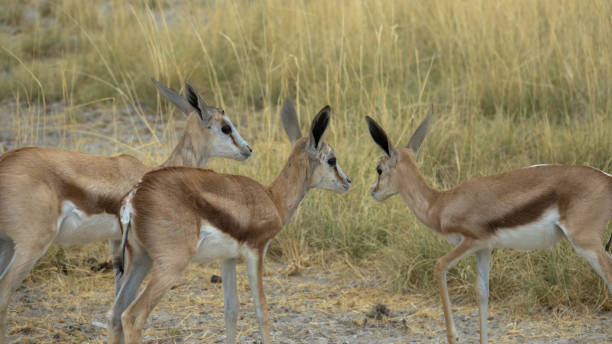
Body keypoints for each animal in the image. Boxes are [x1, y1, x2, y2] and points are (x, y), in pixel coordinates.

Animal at [0, 78, 251, 344]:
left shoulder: (115, 244)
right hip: (31, 245)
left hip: (6, 244)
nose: (248, 149)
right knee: (4, 293)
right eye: (226, 127)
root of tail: (5, 161)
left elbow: (116, 308)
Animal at [107, 100, 352, 344]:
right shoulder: (256, 252)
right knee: (132, 316)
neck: (272, 199)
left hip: (141, 260)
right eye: (332, 160)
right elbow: (262, 311)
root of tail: (135, 196)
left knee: (115, 314)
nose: (348, 181)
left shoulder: (228, 258)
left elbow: (231, 310)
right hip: (170, 266)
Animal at [366, 107, 612, 344]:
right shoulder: (484, 248)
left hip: (585, 242)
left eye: (379, 169)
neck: (441, 203)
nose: (373, 192)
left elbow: (439, 266)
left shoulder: (470, 241)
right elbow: (483, 292)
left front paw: (454, 336)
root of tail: (606, 178)